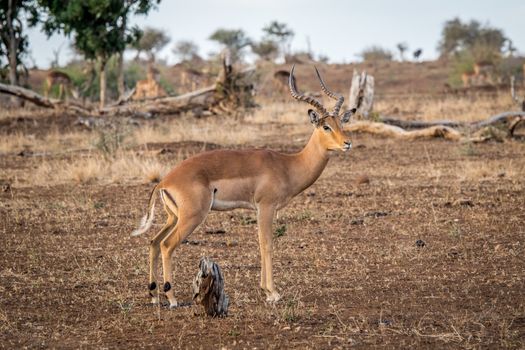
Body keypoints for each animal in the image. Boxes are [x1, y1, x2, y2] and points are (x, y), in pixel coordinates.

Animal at [130, 65, 356, 306]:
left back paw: (154, 295)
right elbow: (267, 244)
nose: (347, 143)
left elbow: (260, 243)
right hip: (192, 217)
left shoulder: (260, 209)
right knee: (166, 245)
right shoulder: (266, 207)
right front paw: (273, 293)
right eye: (325, 126)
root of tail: (164, 181)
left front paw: (266, 291)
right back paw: (171, 298)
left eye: (341, 123)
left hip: (174, 217)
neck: (288, 165)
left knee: (154, 242)